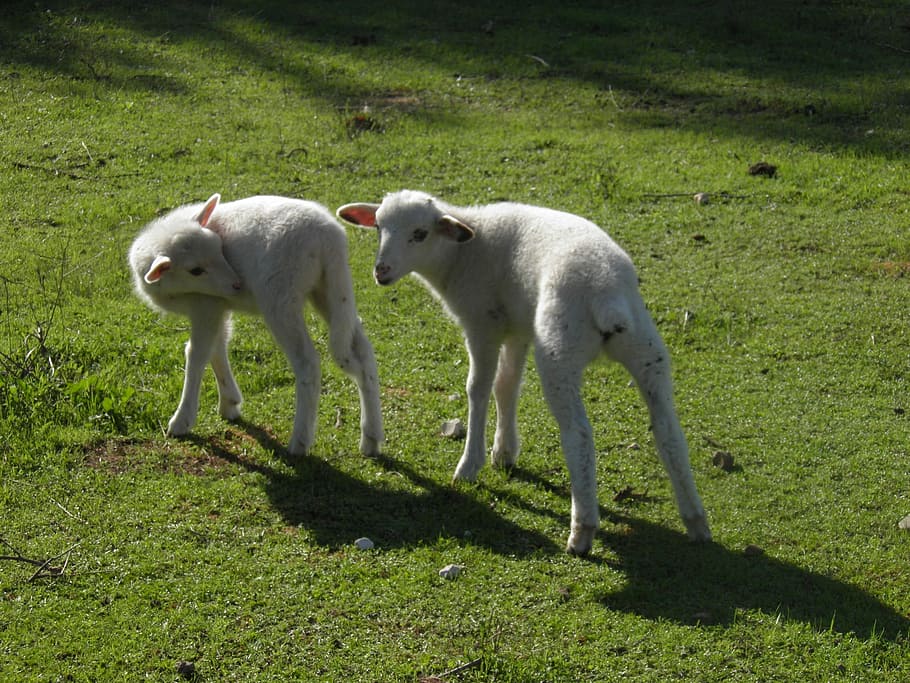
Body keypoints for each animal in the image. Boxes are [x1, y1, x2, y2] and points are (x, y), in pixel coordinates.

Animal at [129, 193, 384, 457]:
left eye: (219, 248)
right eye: (196, 270)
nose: (237, 285)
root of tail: (329, 240)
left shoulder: (205, 305)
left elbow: (197, 354)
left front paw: (181, 421)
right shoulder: (218, 306)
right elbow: (218, 348)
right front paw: (229, 402)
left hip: (280, 296)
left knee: (308, 362)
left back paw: (299, 442)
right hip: (332, 290)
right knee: (364, 352)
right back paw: (371, 438)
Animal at [337, 190, 710, 555]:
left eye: (420, 233)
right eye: (378, 227)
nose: (381, 271)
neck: (462, 254)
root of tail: (608, 297)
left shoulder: (483, 325)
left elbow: (479, 388)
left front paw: (470, 465)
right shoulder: (517, 327)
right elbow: (507, 385)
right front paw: (504, 453)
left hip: (559, 349)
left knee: (578, 434)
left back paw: (582, 531)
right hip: (646, 349)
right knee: (668, 431)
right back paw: (695, 520)